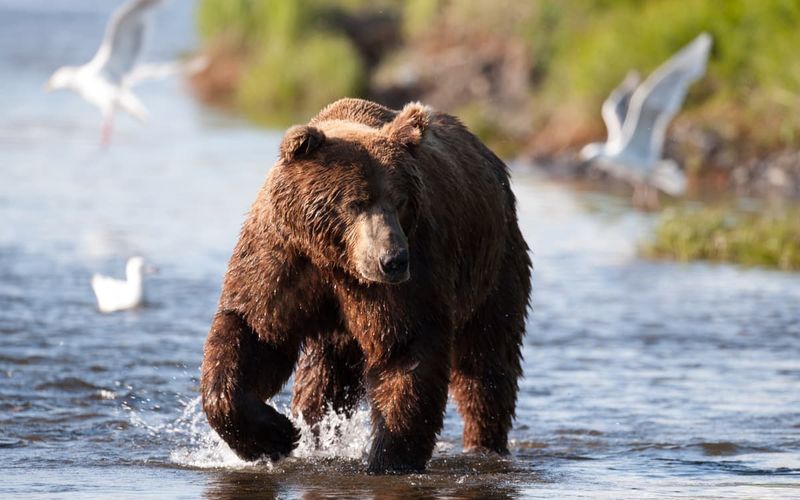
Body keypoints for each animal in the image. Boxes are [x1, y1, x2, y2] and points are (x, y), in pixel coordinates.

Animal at [200, 96, 532, 472]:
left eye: (400, 200)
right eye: (355, 202)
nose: (393, 260)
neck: (335, 258)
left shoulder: (410, 276)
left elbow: (406, 348)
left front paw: (390, 458)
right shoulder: (283, 257)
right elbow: (255, 332)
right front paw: (275, 435)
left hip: (493, 267)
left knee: (487, 362)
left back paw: (484, 443)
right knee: (323, 379)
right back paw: (314, 431)